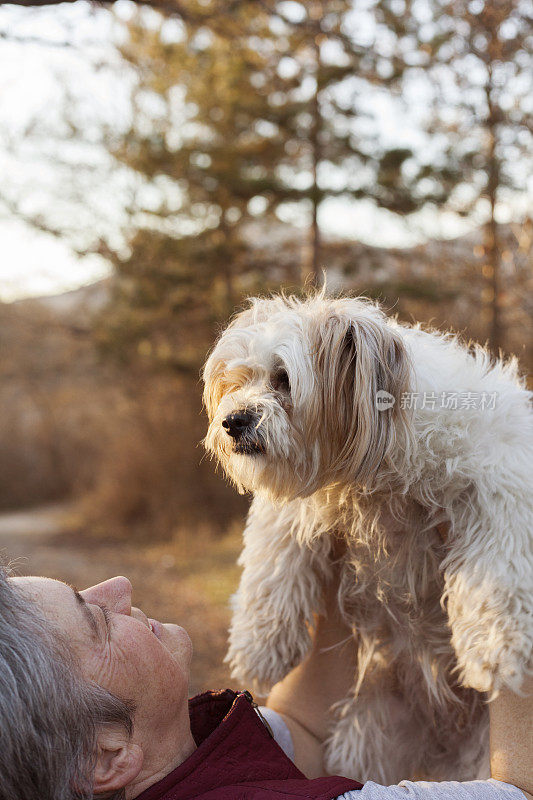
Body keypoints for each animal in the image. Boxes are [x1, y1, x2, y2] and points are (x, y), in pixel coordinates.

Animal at [202, 292, 528, 780]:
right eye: (236, 381)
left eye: (283, 378)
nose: (233, 421)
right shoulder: (295, 507)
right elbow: (273, 554)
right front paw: (259, 644)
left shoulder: (501, 479)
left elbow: (497, 567)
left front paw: (497, 648)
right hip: (372, 731)